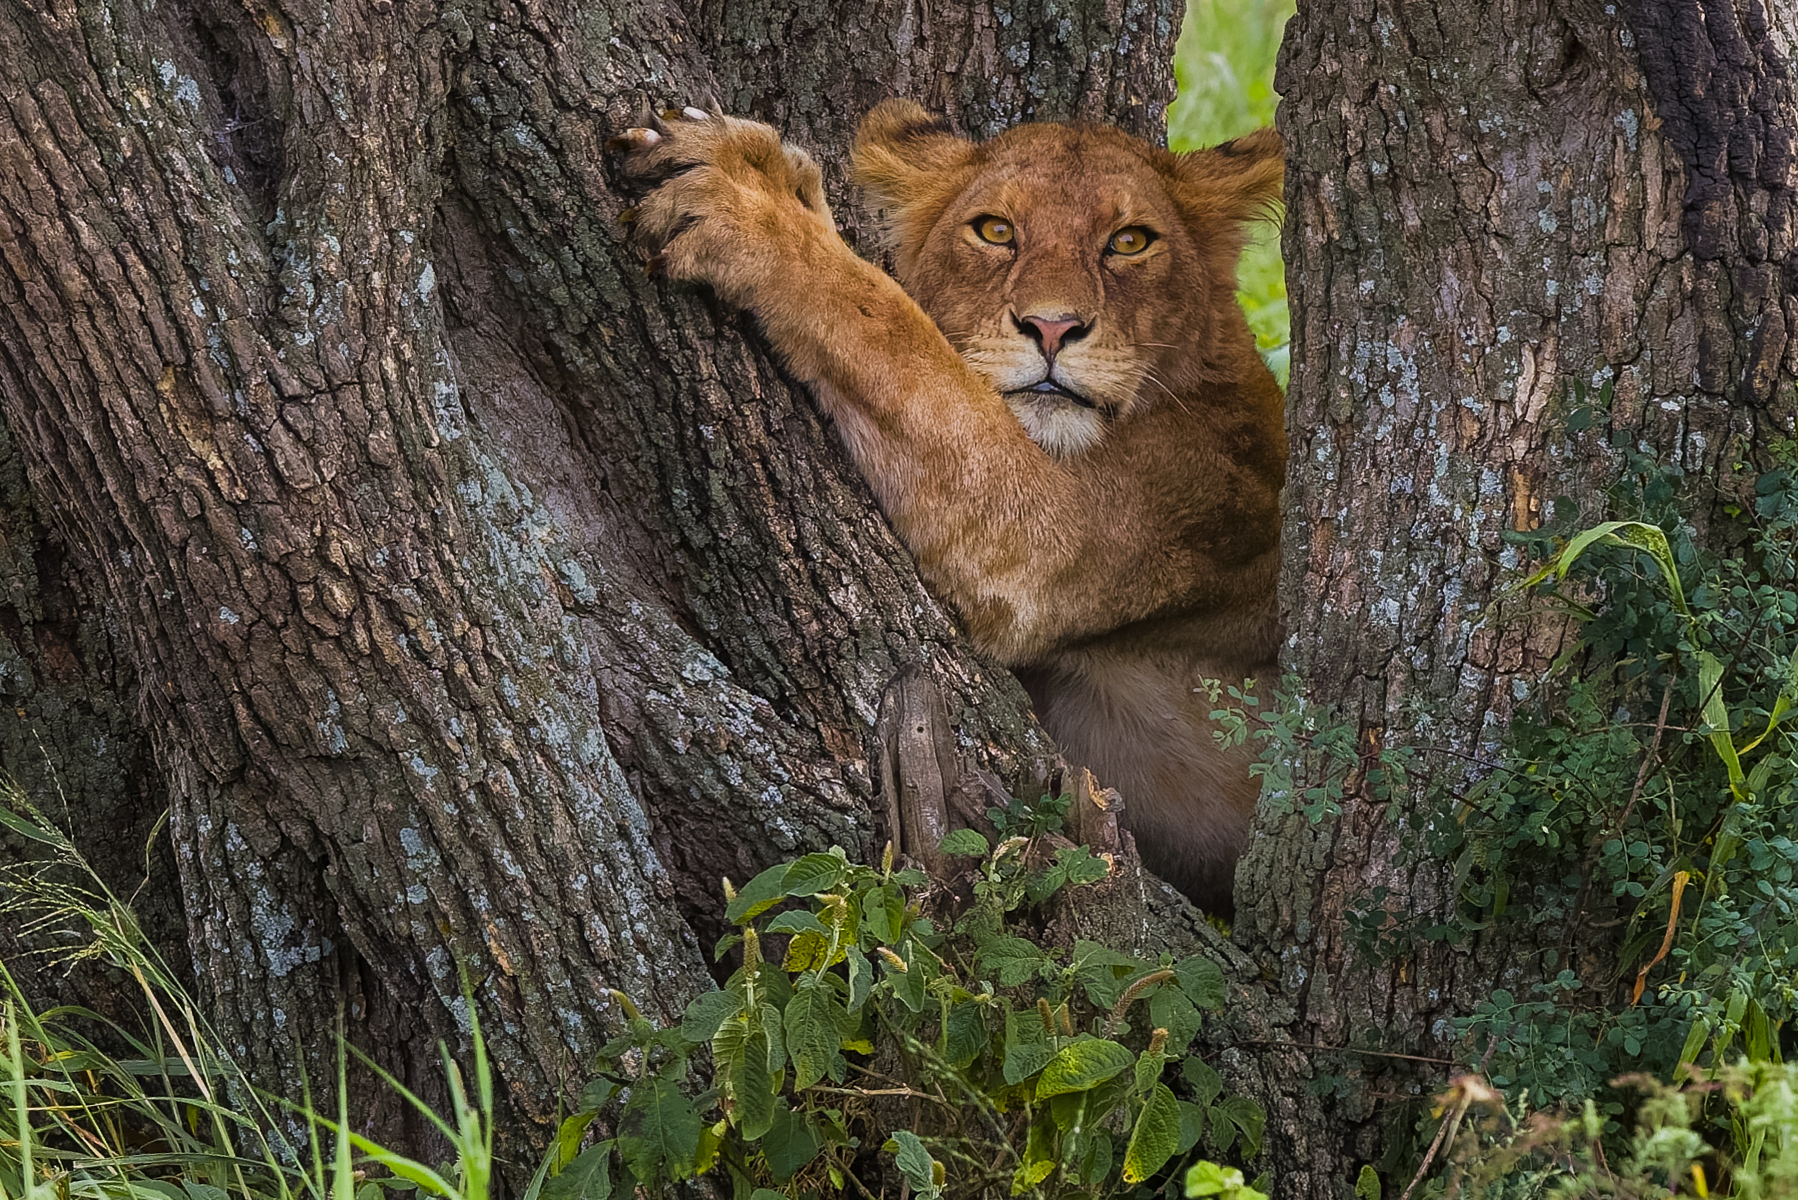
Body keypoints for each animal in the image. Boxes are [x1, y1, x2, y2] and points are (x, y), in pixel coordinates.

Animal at [612, 101, 1285, 914]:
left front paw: (745, 206)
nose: (1052, 329)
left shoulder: (1072, 533)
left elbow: (892, 329)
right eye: (995, 230)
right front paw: (769, 164)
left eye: (1130, 242)